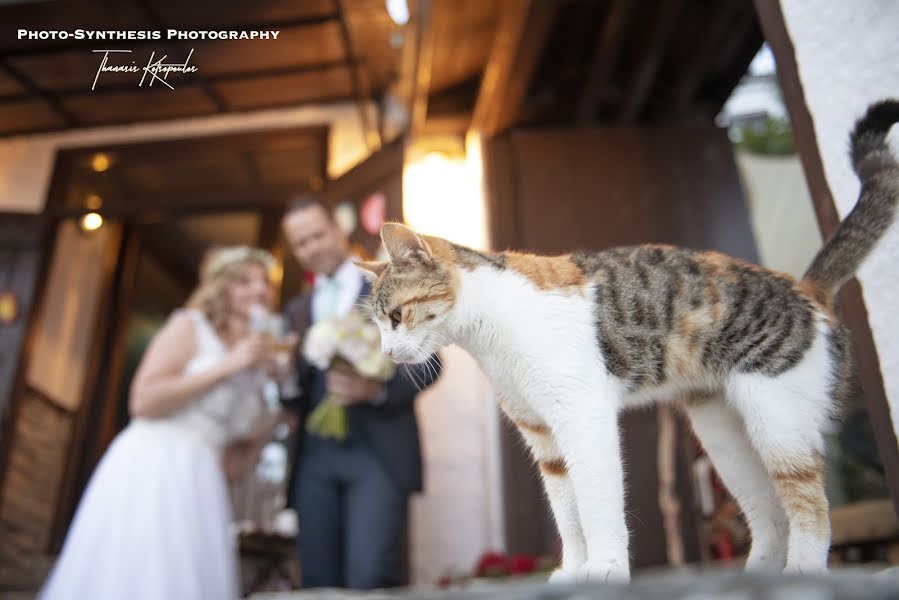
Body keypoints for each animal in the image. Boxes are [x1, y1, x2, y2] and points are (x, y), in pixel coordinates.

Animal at [356, 101, 896, 584]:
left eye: (397, 317)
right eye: (378, 327)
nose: (388, 354)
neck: (491, 328)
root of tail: (805, 287)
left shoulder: (582, 416)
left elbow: (596, 502)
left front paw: (607, 569)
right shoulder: (543, 436)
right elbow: (567, 513)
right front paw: (574, 570)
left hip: (777, 421)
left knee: (810, 504)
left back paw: (804, 573)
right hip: (725, 439)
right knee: (769, 514)